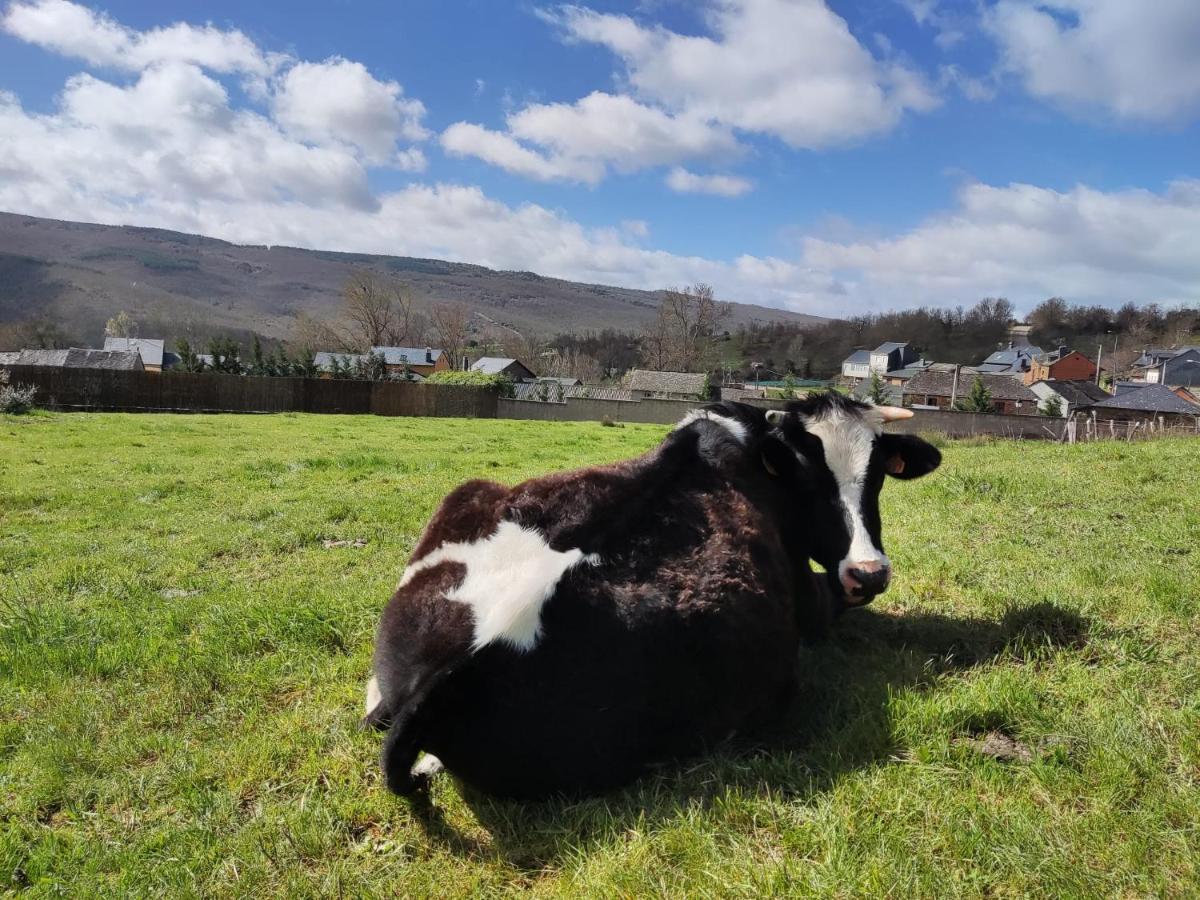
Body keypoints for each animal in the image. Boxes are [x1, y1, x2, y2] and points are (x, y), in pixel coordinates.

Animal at [360, 393, 940, 801]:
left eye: (877, 477)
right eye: (808, 478)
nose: (868, 572)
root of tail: (437, 680)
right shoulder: (812, 599)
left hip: (465, 493)